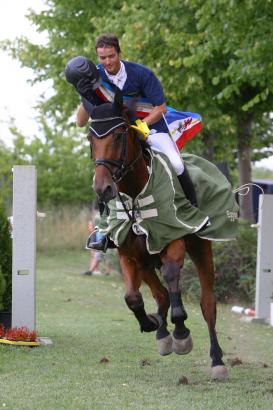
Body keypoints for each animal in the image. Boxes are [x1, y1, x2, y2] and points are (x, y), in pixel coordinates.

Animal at [88, 100, 228, 382]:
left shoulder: (172, 240)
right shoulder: (128, 254)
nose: (103, 189)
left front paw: (181, 332)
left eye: (118, 135)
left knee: (207, 303)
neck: (135, 195)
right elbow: (132, 297)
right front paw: (152, 324)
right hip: (145, 259)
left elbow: (173, 275)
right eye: (90, 139)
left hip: (199, 248)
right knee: (160, 294)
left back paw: (217, 360)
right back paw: (162, 333)